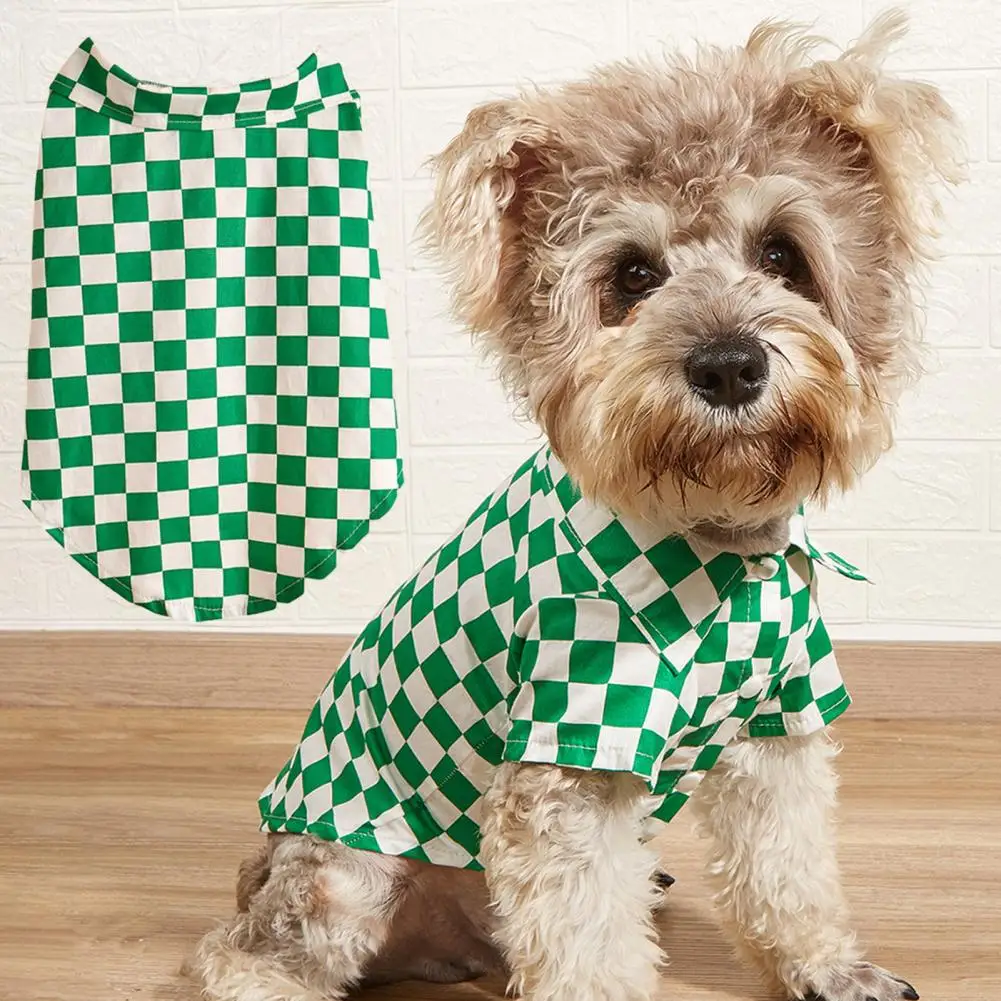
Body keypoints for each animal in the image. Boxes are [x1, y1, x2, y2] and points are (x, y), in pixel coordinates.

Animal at [191, 12, 961, 1001]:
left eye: (781, 253)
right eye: (631, 275)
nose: (727, 365)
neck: (712, 546)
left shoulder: (776, 726)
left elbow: (788, 869)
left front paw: (826, 967)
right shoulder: (571, 756)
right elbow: (588, 936)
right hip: (342, 879)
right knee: (242, 950)